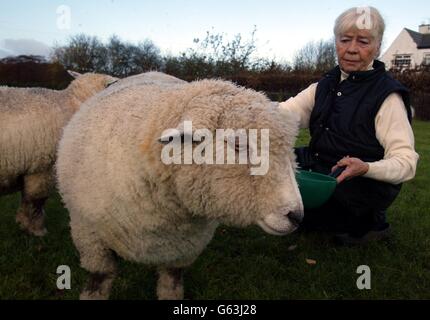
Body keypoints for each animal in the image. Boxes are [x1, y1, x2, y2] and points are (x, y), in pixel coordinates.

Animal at [55, 72, 302, 300]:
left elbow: (171, 286)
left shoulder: (181, 251)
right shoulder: (91, 239)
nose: (297, 216)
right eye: (239, 144)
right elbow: (99, 280)